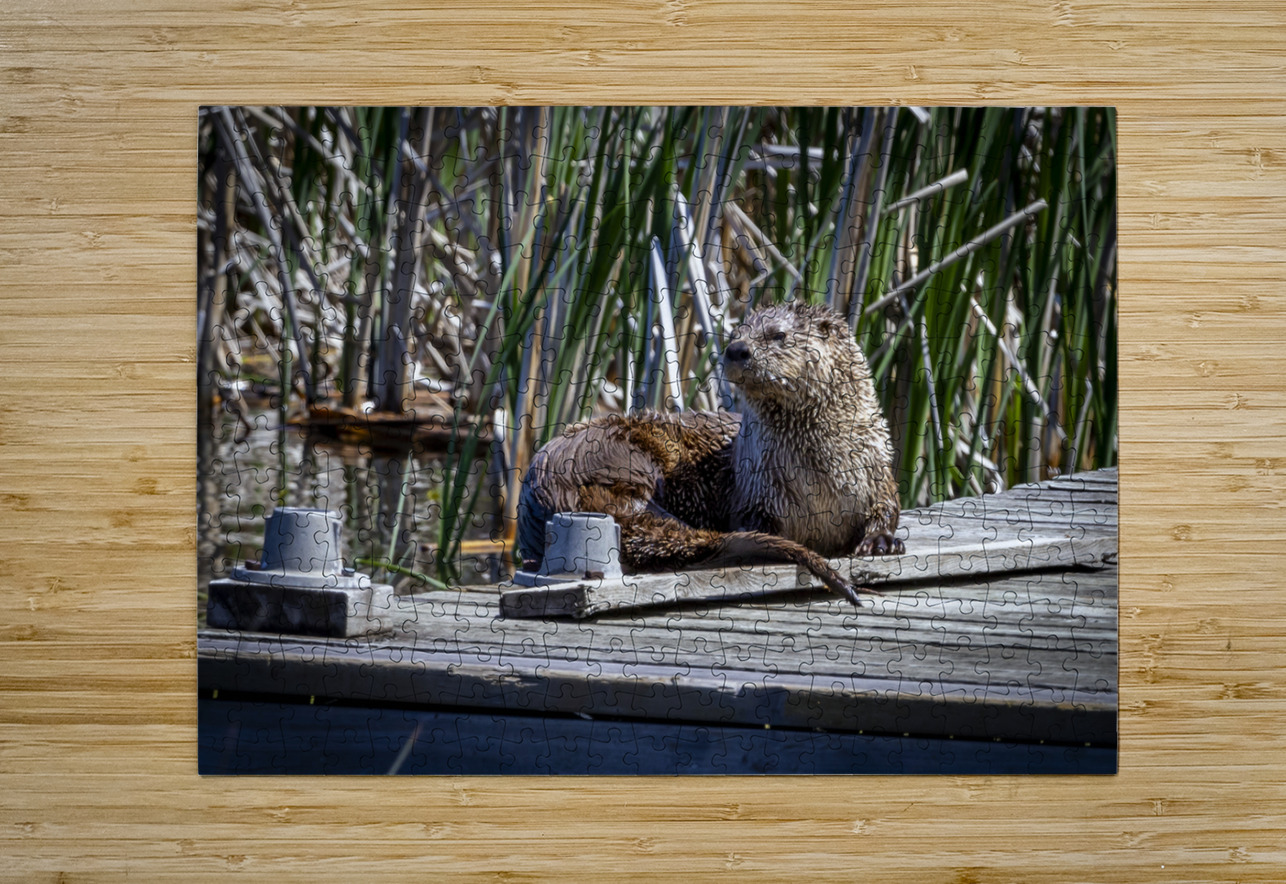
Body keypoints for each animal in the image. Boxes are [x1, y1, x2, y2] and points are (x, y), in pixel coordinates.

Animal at [516, 302, 903, 605]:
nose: (737, 350)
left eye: (778, 334)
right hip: (621, 455)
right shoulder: (757, 489)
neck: (818, 478)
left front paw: (881, 541)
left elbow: (888, 507)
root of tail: (551, 486)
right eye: (737, 332)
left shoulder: (877, 470)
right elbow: (751, 522)